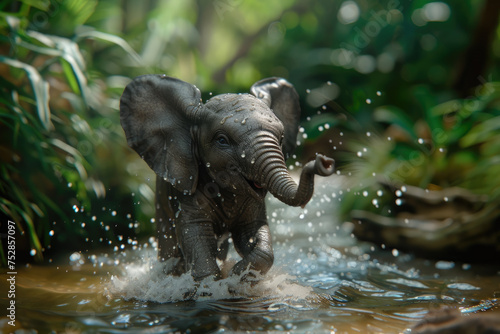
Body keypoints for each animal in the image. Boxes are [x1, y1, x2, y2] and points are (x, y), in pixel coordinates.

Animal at [119, 74, 334, 280]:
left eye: (281, 139)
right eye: (222, 140)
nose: (324, 161)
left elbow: (254, 232)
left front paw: (237, 274)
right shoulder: (186, 191)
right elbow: (194, 233)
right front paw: (216, 281)